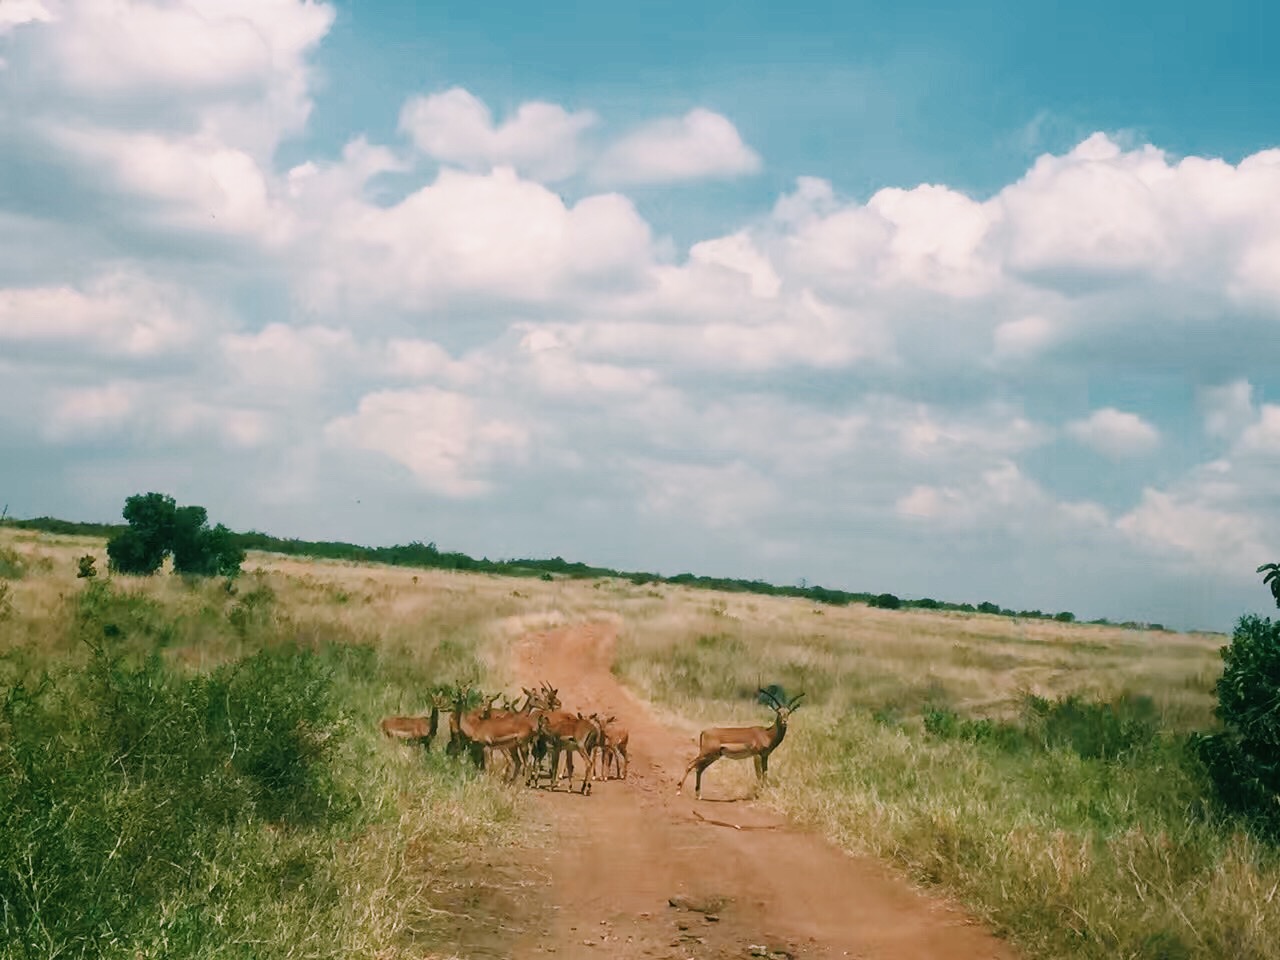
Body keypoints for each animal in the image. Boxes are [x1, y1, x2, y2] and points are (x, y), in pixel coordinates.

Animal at [675, 686, 803, 798]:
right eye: (778, 712)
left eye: (789, 712)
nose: (785, 721)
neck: (767, 734)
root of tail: (704, 731)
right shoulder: (757, 755)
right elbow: (759, 775)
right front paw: (759, 794)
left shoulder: (765, 756)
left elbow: (765, 774)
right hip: (706, 753)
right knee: (690, 765)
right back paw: (679, 791)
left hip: (714, 756)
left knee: (699, 769)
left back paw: (699, 795)